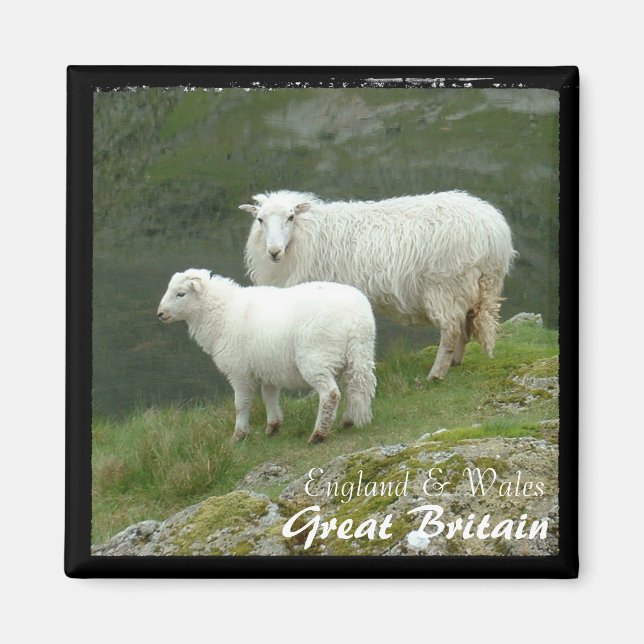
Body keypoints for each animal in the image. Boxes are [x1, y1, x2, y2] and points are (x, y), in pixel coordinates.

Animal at [157, 269, 377, 444]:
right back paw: (350, 419)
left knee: (330, 394)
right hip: (358, 354)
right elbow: (269, 396)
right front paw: (273, 426)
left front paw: (239, 435)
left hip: (316, 357)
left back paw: (318, 434)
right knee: (357, 386)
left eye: (181, 294)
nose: (160, 314)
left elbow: (241, 404)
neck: (221, 313)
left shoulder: (239, 372)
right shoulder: (267, 368)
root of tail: (356, 319)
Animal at [241, 190, 517, 381]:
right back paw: (456, 361)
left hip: (447, 284)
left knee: (450, 330)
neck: (307, 235)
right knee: (463, 325)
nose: (274, 252)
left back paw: (436, 374)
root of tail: (494, 233)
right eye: (260, 219)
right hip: (470, 286)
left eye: (290, 217)